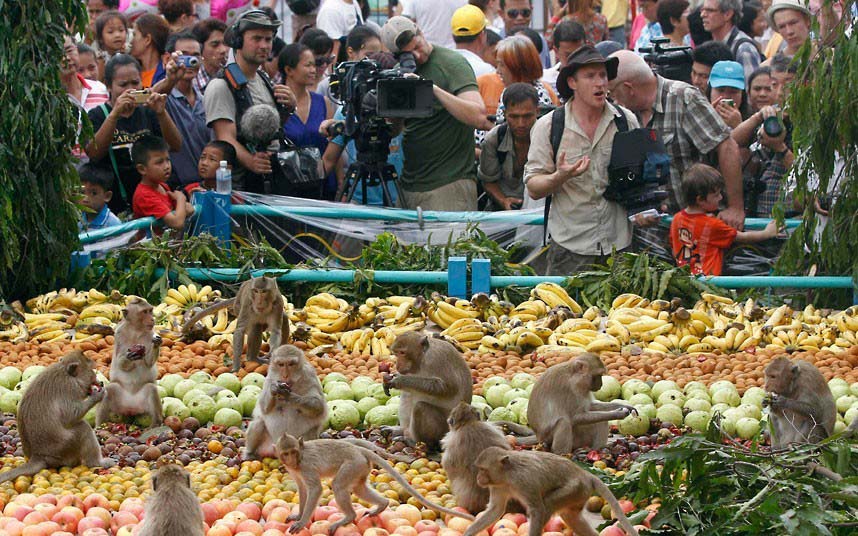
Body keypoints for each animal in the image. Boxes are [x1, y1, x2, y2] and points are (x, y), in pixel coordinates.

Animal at [0, 350, 113, 484]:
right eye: (91, 371)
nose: (99, 381)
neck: (64, 370)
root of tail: (38, 455)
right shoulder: (70, 388)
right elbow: (70, 416)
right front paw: (97, 396)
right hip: (64, 448)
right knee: (83, 428)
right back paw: (96, 462)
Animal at [97, 298, 164, 428]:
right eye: (144, 312)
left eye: (150, 310)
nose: (152, 319)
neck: (136, 331)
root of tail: (131, 408)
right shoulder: (119, 334)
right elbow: (119, 362)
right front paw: (129, 357)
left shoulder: (150, 333)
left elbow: (148, 362)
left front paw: (156, 343)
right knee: (109, 389)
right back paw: (99, 426)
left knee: (151, 389)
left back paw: (155, 425)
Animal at [276, 434, 472, 532]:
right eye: (286, 453)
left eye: (293, 451)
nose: (291, 460)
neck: (300, 459)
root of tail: (359, 450)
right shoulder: (295, 471)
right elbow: (302, 489)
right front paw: (298, 515)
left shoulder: (306, 466)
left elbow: (315, 489)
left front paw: (302, 522)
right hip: (360, 467)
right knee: (358, 488)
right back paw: (382, 505)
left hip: (353, 464)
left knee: (338, 486)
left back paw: (348, 517)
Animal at [462, 446, 636, 536]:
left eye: (483, 469)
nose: (478, 477)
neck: (507, 474)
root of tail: (585, 474)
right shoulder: (498, 485)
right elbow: (495, 510)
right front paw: (468, 533)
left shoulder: (524, 481)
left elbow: (538, 509)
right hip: (580, 494)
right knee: (571, 517)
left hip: (576, 488)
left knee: (548, 503)